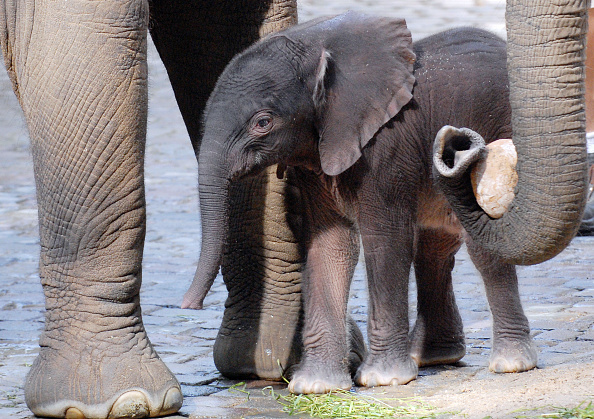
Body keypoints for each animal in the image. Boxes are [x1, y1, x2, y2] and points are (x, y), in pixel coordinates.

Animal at [186, 11, 536, 396]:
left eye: (263, 123)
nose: (191, 305)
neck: (318, 46)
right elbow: (331, 245)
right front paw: (316, 387)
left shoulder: (386, 149)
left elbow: (385, 239)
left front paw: (383, 379)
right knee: (434, 247)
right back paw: (433, 358)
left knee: (482, 245)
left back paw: (511, 364)